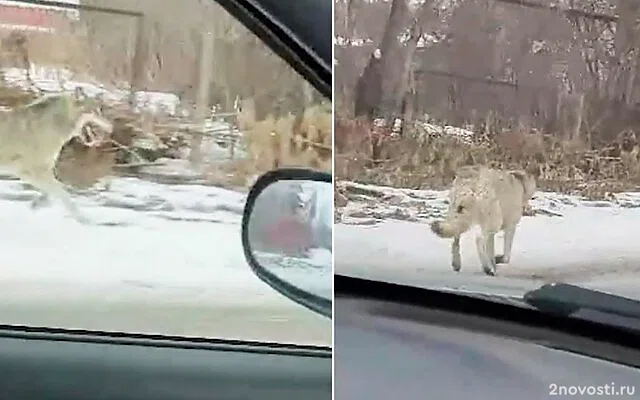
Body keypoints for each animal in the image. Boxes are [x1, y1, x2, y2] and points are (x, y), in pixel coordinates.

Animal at [0, 92, 112, 223]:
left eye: (100, 110)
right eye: (95, 111)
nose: (111, 126)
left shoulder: (34, 172)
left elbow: (53, 192)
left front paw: (37, 205)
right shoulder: (34, 172)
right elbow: (64, 195)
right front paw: (85, 220)